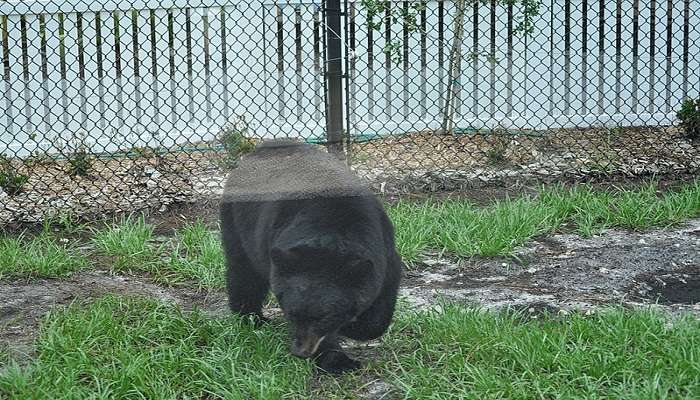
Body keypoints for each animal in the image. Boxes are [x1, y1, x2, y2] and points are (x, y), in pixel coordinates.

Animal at [221, 139, 402, 374]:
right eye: (291, 313)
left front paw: (355, 326)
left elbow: (381, 302)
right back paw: (252, 318)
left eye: (323, 318)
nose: (299, 351)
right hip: (236, 219)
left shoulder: (383, 252)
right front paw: (337, 360)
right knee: (243, 271)